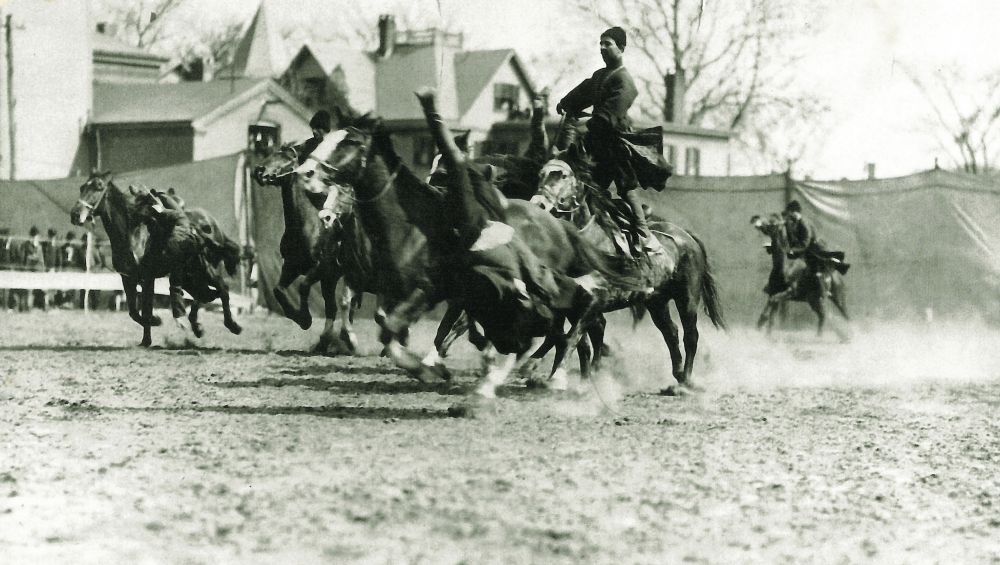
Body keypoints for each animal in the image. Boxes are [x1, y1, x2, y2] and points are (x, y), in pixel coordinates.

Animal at [532, 153, 728, 392]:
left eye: (562, 175)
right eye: (540, 174)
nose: (538, 204)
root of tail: (687, 237)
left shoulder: (594, 302)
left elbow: (573, 338)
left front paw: (559, 379)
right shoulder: (573, 304)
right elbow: (581, 343)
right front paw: (583, 380)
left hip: (687, 297)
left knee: (690, 335)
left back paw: (686, 382)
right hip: (657, 302)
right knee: (670, 332)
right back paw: (679, 375)